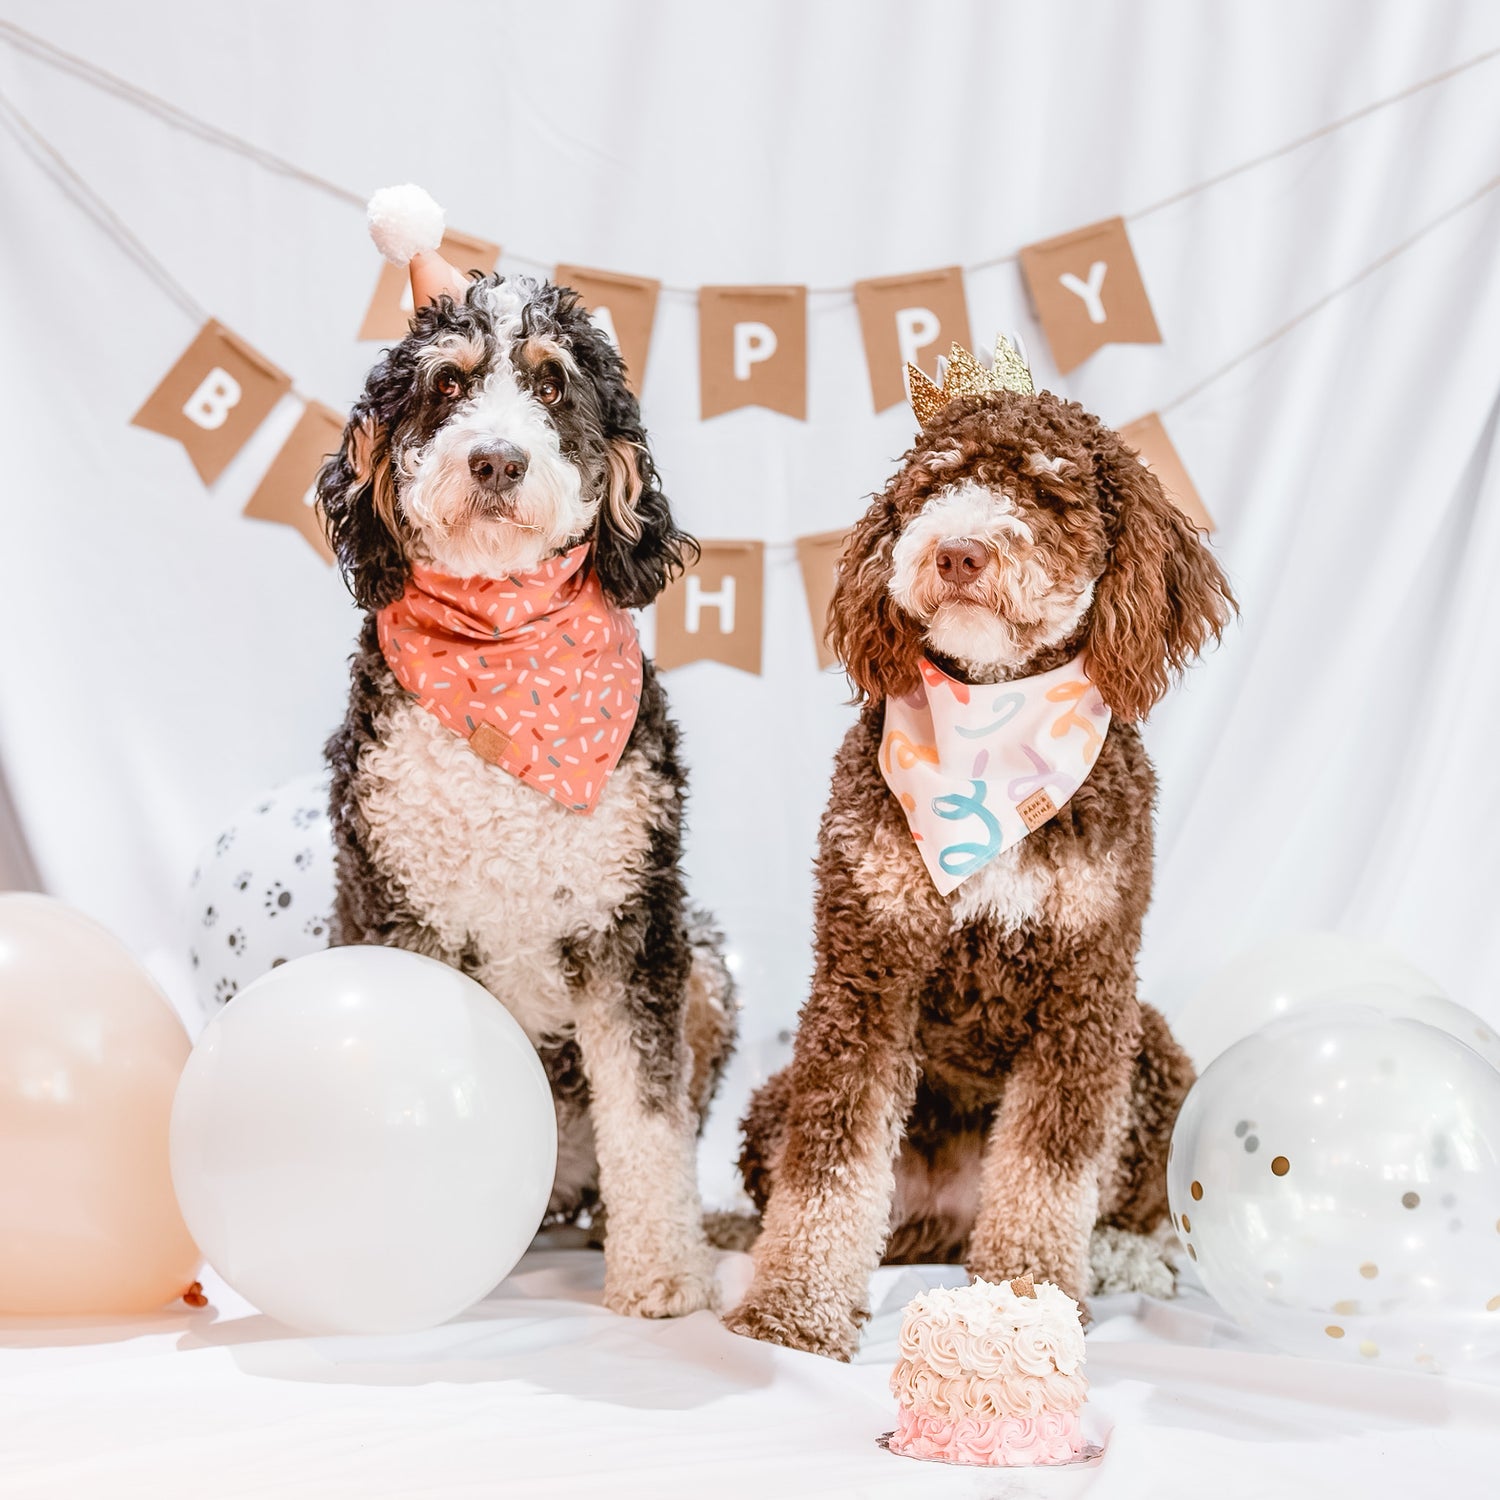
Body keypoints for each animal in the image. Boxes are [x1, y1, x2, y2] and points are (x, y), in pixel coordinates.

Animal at [318, 208, 738, 1314]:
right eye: (446, 385)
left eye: (552, 385)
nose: (497, 462)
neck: (507, 645)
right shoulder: (397, 910)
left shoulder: (632, 926)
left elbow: (648, 1117)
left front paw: (663, 1272)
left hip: (705, 967)